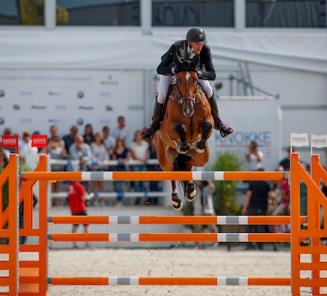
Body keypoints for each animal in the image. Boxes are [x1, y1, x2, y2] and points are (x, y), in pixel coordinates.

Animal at [155, 49, 217, 209]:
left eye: (195, 80)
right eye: (178, 79)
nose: (188, 110)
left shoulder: (209, 120)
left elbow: (207, 125)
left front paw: (199, 144)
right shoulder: (167, 127)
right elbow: (179, 127)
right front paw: (182, 143)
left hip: (202, 158)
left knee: (188, 164)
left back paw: (191, 190)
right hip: (164, 156)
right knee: (171, 171)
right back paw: (176, 200)